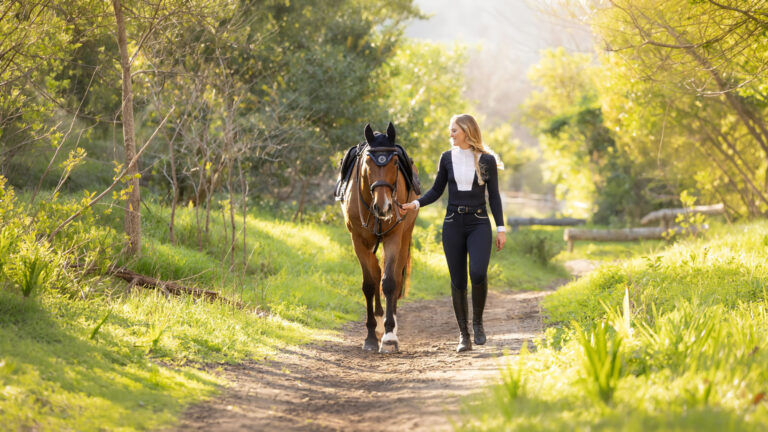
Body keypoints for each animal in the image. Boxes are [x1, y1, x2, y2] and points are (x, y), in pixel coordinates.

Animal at [339, 122, 419, 353]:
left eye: (395, 162)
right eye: (367, 162)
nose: (383, 207)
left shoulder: (393, 237)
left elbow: (390, 282)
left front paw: (389, 335)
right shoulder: (358, 240)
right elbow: (369, 283)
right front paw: (370, 337)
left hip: (404, 236)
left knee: (395, 277)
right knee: (375, 272)